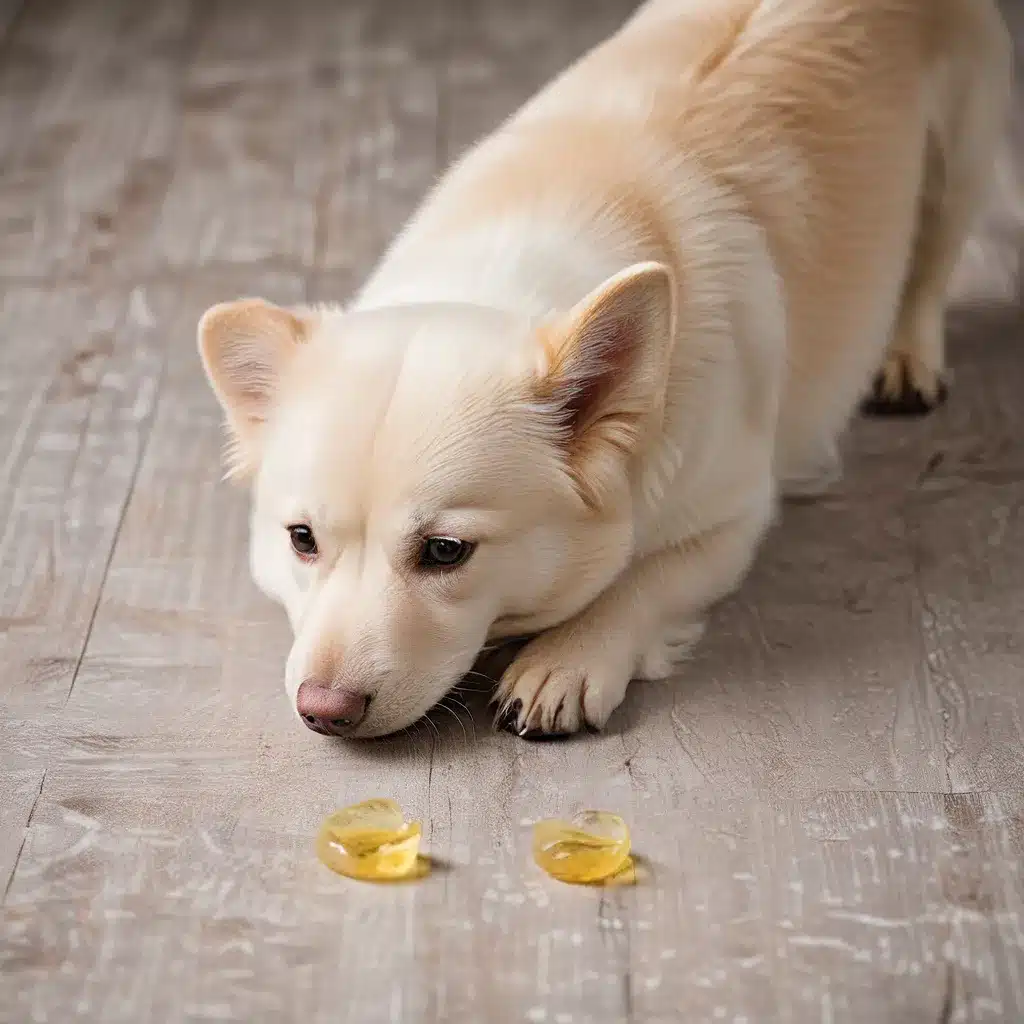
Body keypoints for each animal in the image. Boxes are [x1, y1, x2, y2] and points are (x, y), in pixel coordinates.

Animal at [197, 0, 1007, 737]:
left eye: (446, 552)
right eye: (301, 540)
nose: (324, 712)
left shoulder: (733, 521)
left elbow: (637, 583)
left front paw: (565, 661)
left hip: (962, 150)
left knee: (931, 260)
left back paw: (907, 356)